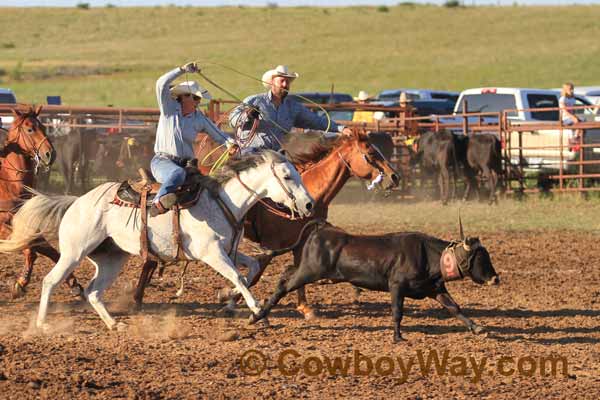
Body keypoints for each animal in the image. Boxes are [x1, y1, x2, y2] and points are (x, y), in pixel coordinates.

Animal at [0, 106, 82, 296]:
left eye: (44, 127)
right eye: (30, 129)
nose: (50, 154)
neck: (8, 184)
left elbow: (46, 249)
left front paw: (73, 282)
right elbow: (31, 247)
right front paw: (21, 282)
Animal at [0, 151, 316, 332]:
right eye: (287, 176)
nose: (309, 204)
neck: (223, 201)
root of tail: (77, 201)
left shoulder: (228, 249)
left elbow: (252, 269)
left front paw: (229, 300)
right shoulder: (211, 253)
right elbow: (239, 276)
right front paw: (258, 314)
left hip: (111, 258)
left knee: (93, 291)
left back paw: (114, 324)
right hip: (74, 252)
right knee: (50, 281)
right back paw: (42, 324)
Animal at [134, 130, 400, 318]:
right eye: (371, 153)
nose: (395, 177)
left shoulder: (299, 242)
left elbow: (296, 273)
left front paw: (305, 308)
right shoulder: (270, 246)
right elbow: (254, 275)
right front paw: (228, 299)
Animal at [251, 220, 500, 342]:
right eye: (480, 258)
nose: (495, 278)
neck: (428, 256)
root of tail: (320, 231)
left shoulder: (435, 288)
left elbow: (454, 307)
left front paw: (477, 328)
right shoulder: (396, 286)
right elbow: (397, 312)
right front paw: (398, 337)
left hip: (307, 270)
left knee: (285, 273)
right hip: (309, 271)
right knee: (284, 285)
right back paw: (257, 316)